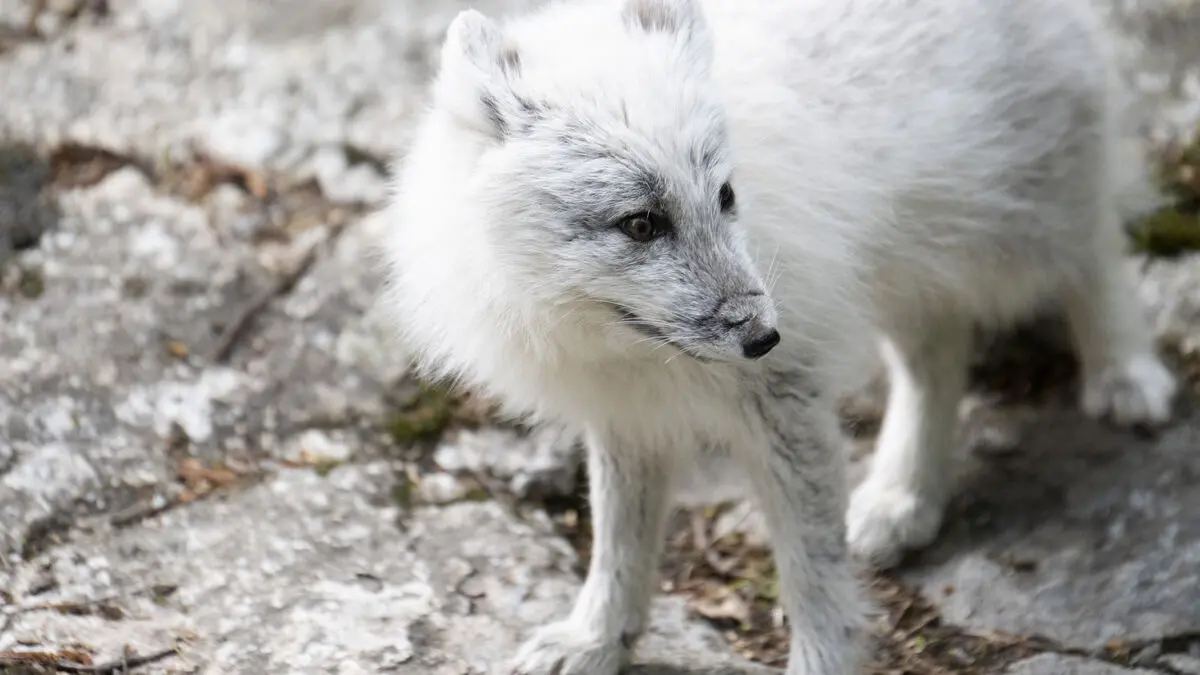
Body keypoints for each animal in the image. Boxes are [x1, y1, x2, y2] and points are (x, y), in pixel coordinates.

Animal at [376, 0, 1178, 672]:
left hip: (1024, 228)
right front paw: (595, 640)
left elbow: (811, 573)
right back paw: (903, 499)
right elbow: (619, 547)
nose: (765, 337)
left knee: (1097, 251)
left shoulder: (786, 403)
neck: (621, 344)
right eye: (640, 223)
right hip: (906, 266)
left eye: (726, 196)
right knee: (940, 356)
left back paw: (1126, 376)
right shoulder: (627, 419)